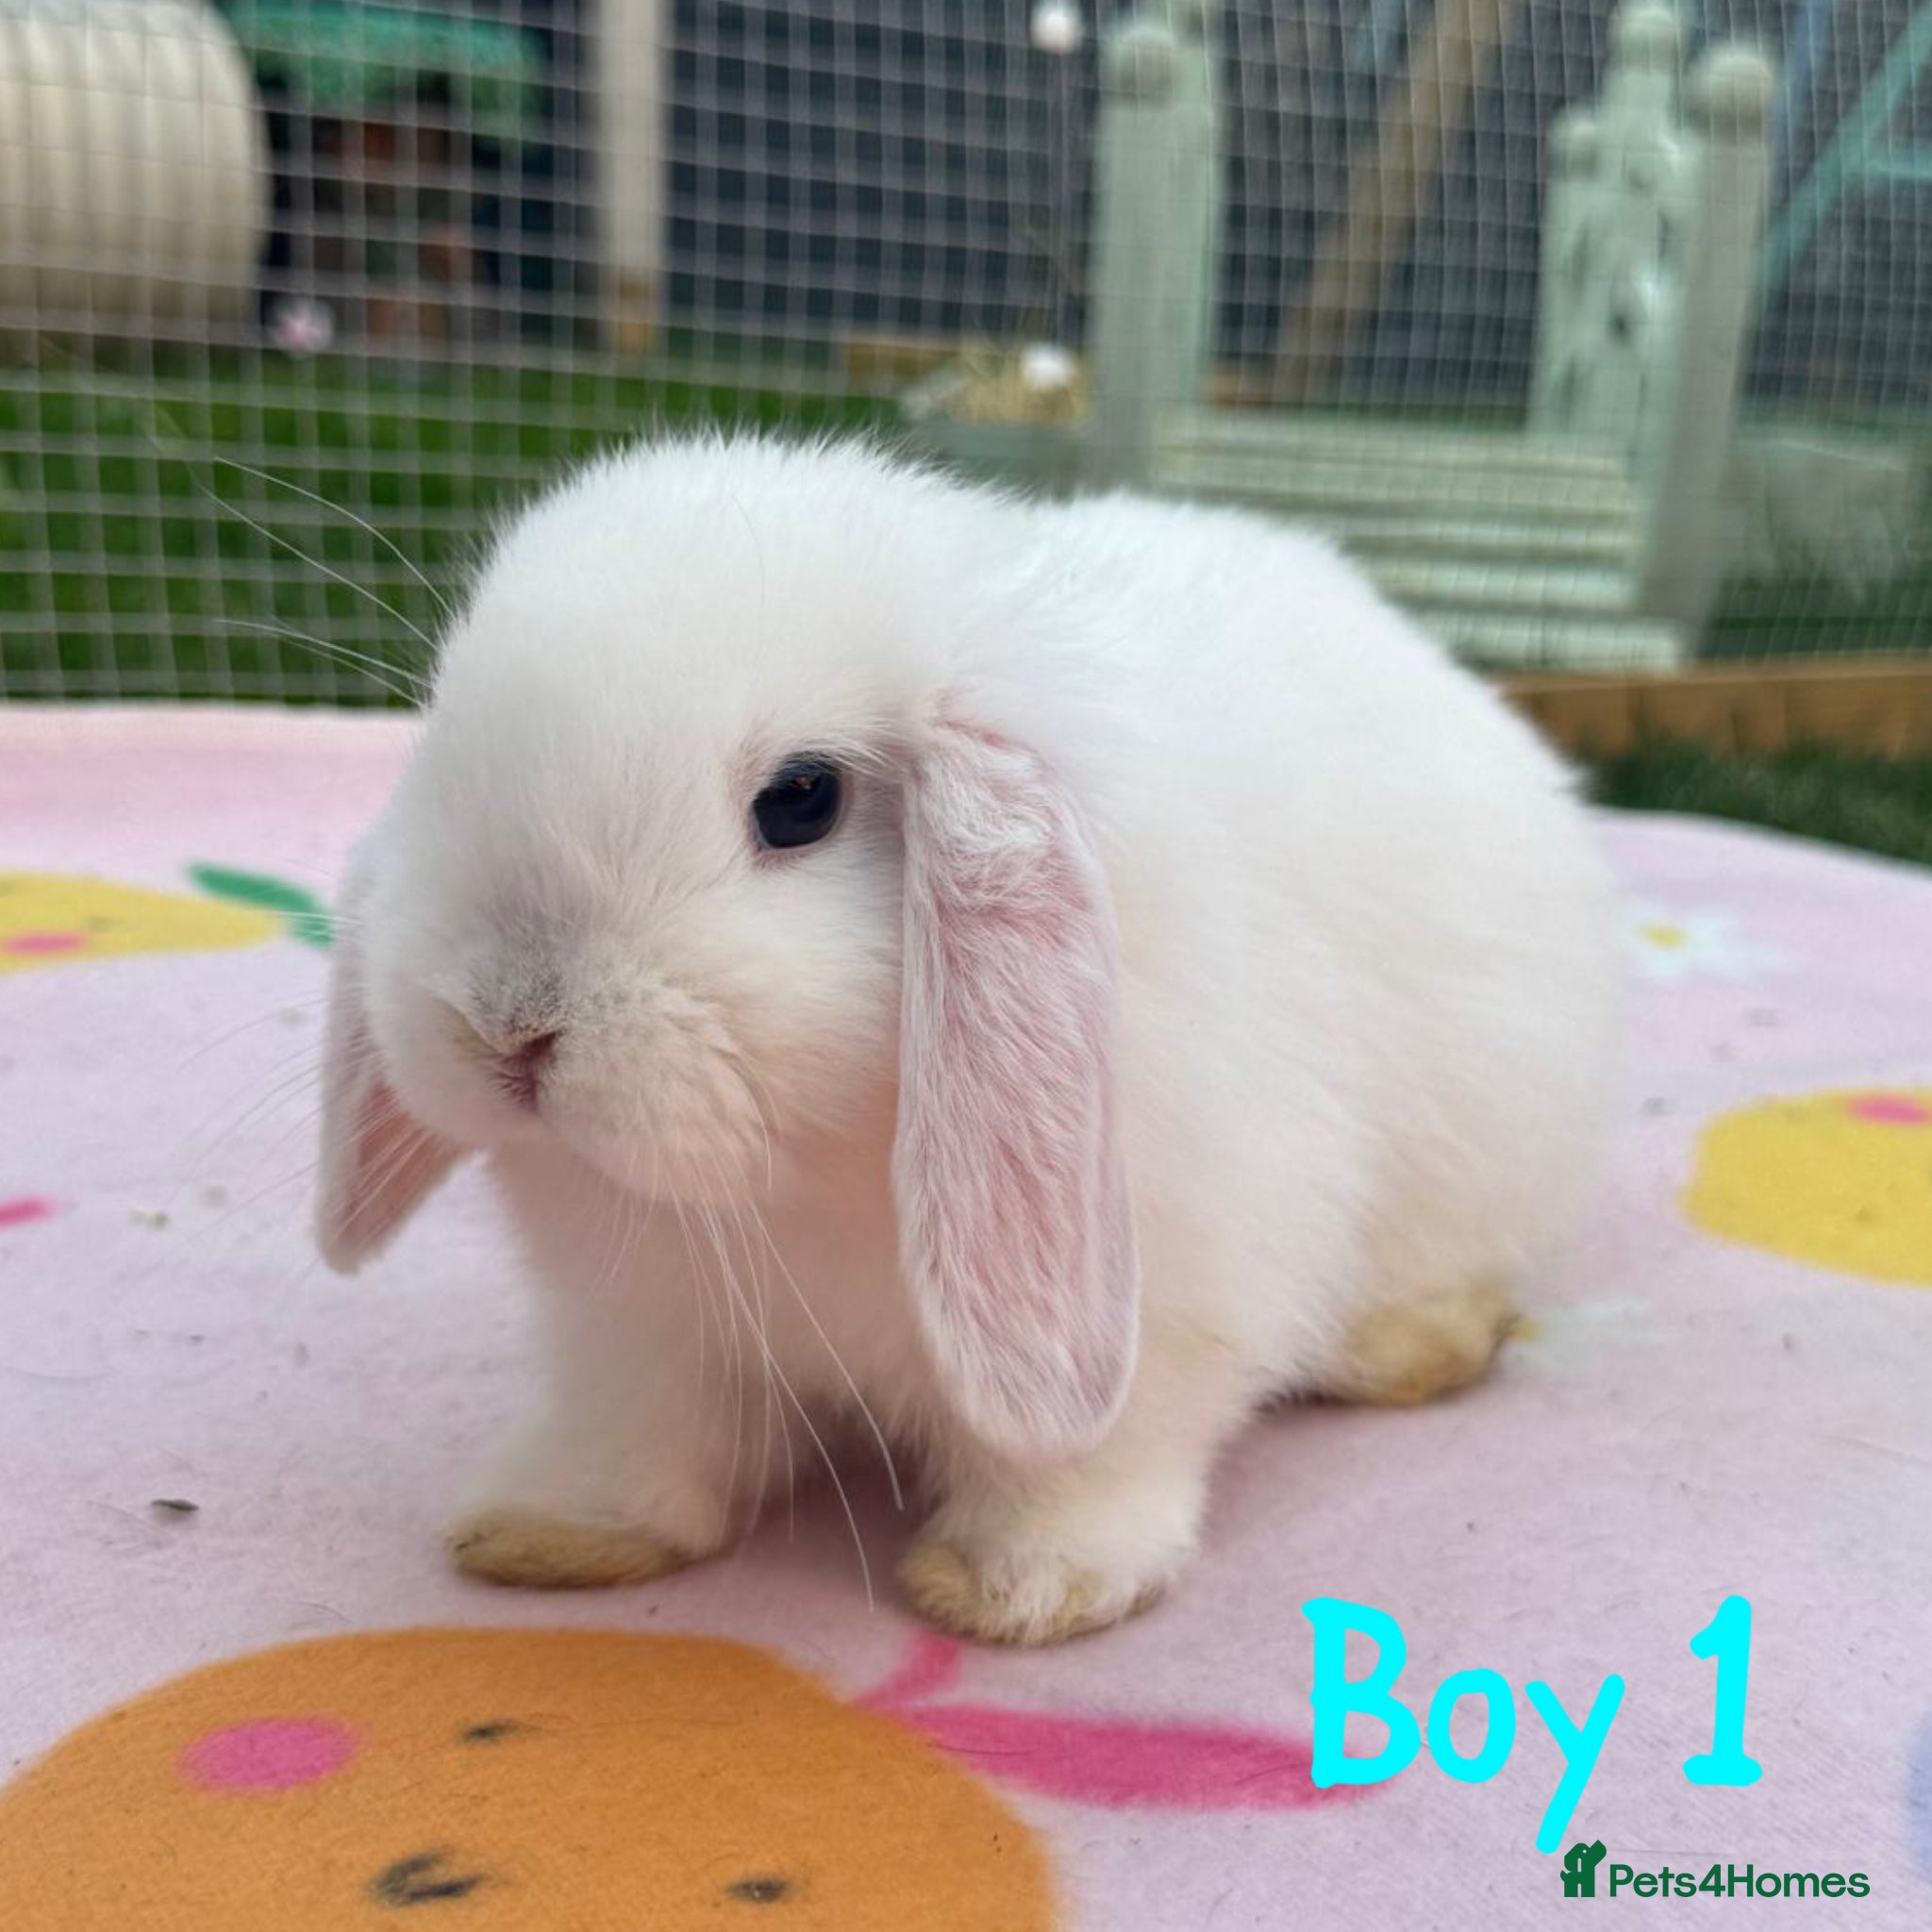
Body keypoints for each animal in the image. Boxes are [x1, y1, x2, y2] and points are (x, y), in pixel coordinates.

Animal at [316, 433, 1623, 1647]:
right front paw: (549, 1531)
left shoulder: (1162, 1295)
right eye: (441, 744)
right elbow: (640, 1434)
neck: (781, 1186)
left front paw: (1022, 1590)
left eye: (799, 799)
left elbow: (1092, 1456)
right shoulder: (636, 1331)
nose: (505, 1023)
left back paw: (1403, 1346)